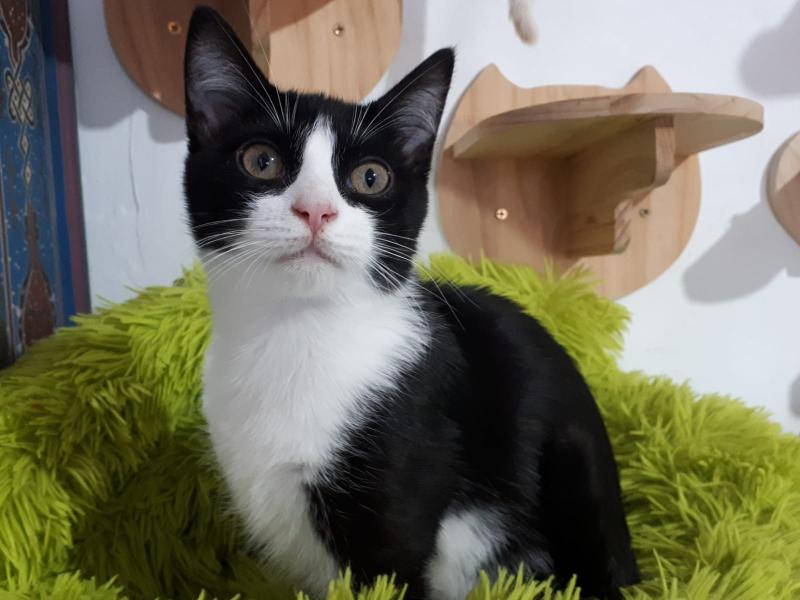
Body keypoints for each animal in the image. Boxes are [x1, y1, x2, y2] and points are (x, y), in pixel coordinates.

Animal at [183, 7, 639, 600]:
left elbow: (392, 570)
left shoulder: (403, 494)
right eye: (261, 161)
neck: (295, 333)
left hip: (575, 465)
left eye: (370, 177)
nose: (316, 210)